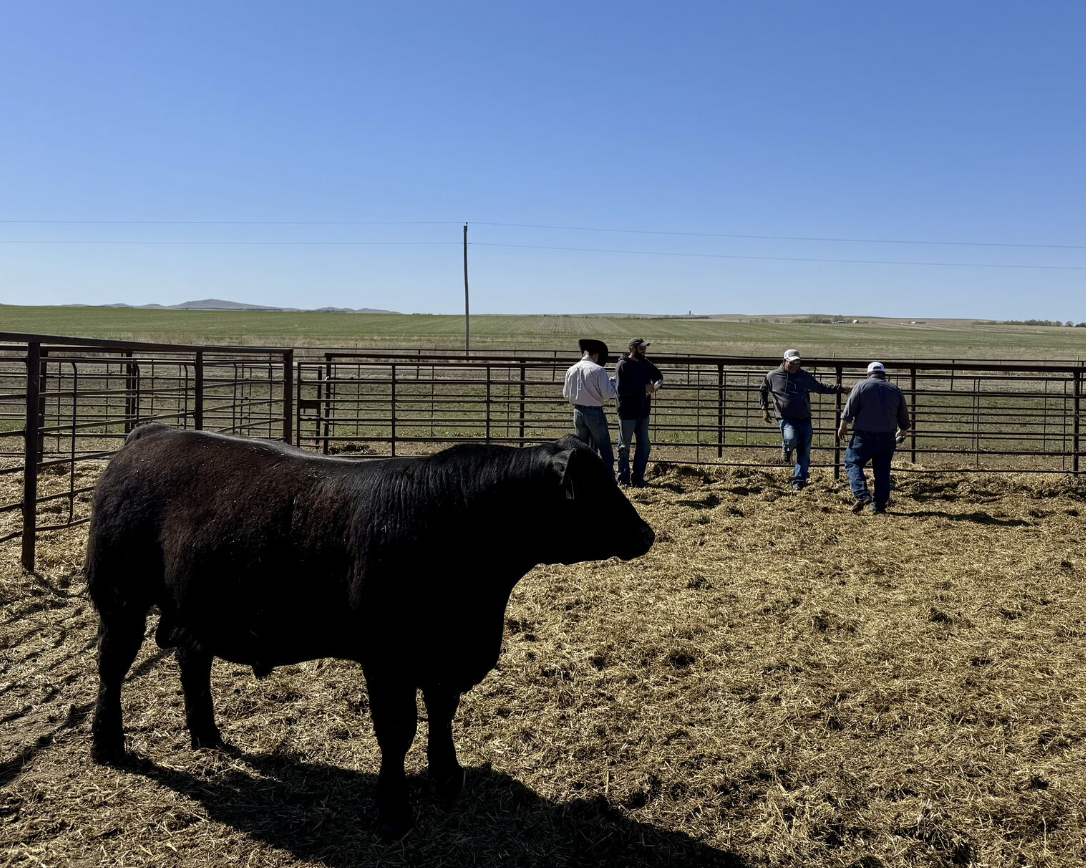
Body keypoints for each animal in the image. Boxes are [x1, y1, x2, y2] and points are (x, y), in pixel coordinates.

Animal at [86, 424, 654, 839]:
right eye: (597, 490)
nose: (646, 534)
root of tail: (149, 434)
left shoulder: (445, 655)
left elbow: (442, 713)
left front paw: (446, 777)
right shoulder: (387, 660)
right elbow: (397, 732)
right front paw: (393, 811)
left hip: (197, 609)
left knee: (192, 659)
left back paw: (206, 732)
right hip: (120, 598)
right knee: (112, 666)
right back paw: (108, 745)